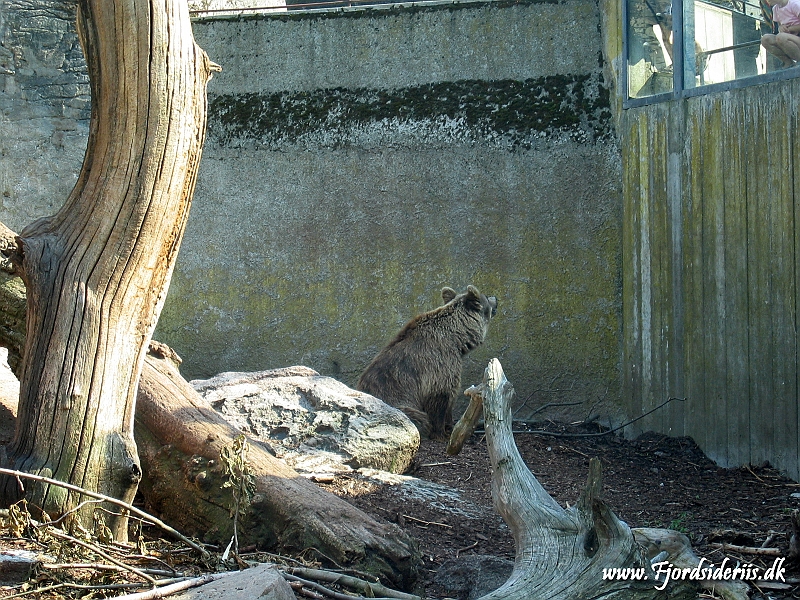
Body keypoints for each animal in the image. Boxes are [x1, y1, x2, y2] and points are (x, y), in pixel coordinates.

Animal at [354, 286, 494, 440]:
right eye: (486, 297)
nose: (496, 299)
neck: (457, 340)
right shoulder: (438, 365)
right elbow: (441, 396)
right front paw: (441, 432)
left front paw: (449, 426)